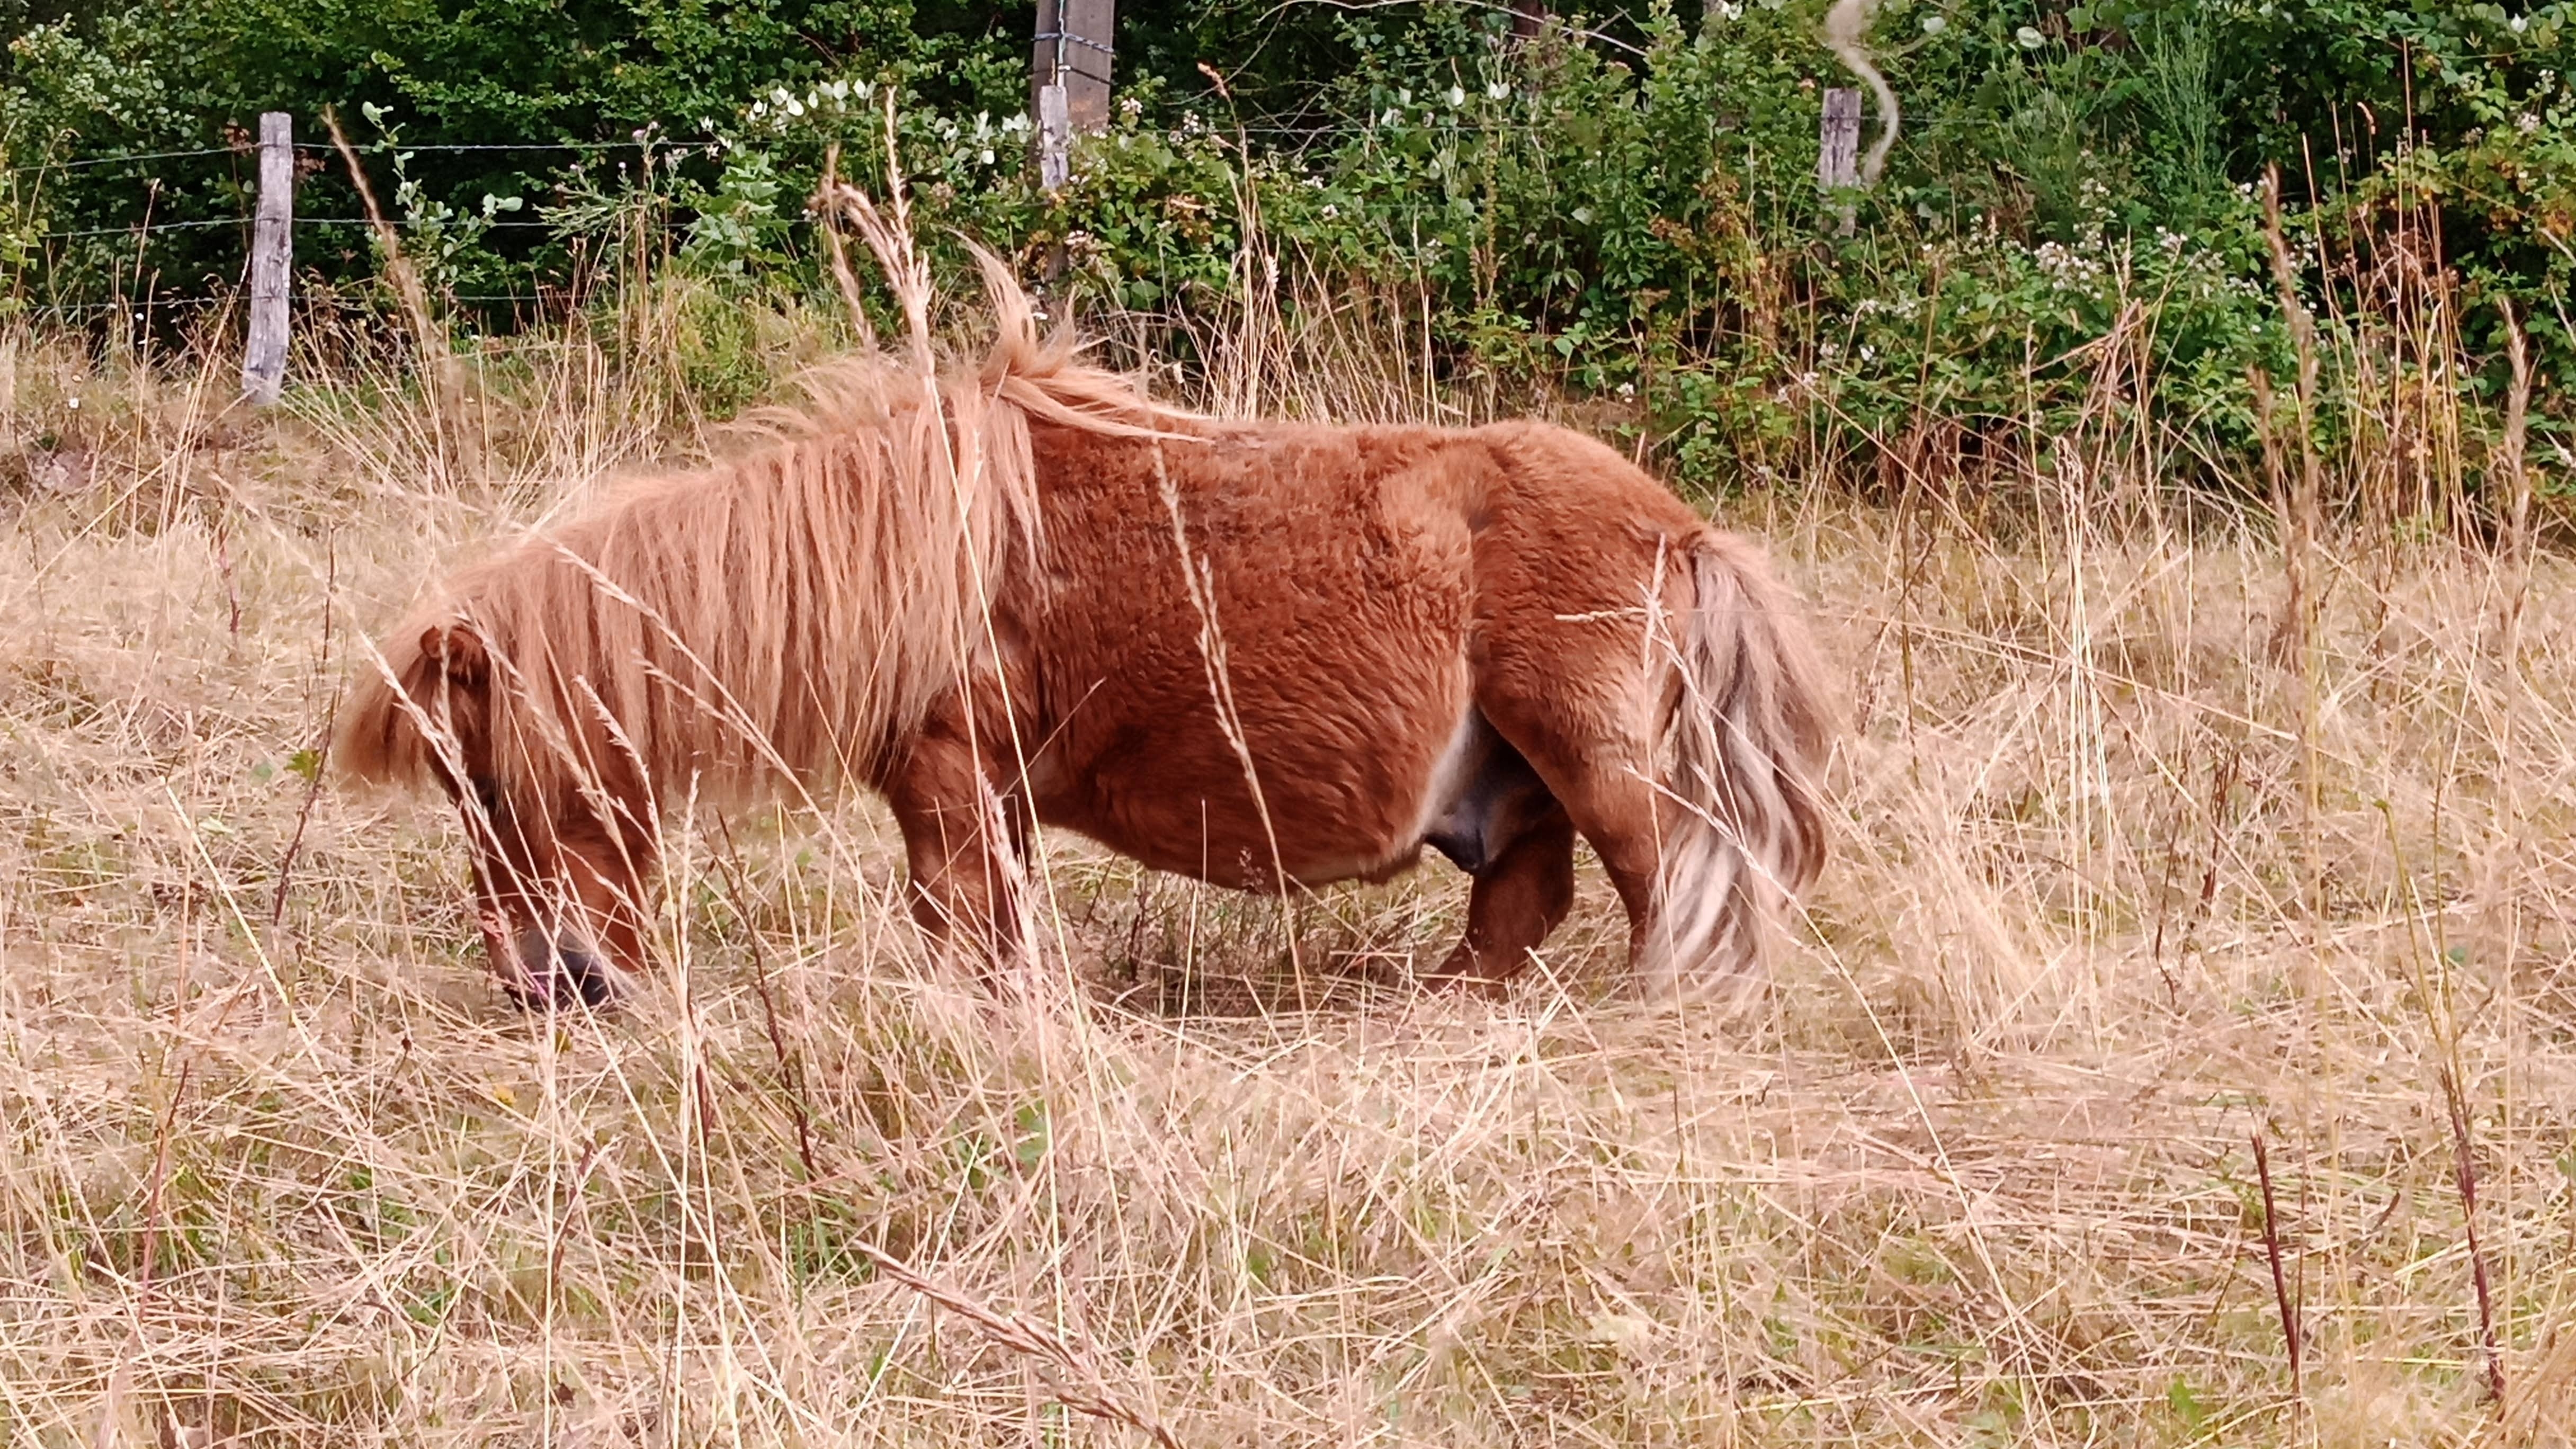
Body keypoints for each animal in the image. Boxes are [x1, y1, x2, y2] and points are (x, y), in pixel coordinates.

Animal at [333, 272, 1834, 1011]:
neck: (917, 547)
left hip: (1594, 765)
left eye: (493, 786)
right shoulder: (980, 799)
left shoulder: (951, 785)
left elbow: (960, 931)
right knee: (1521, 908)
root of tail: (1679, 528)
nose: (548, 988)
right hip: (1520, 789)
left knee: (1668, 894)